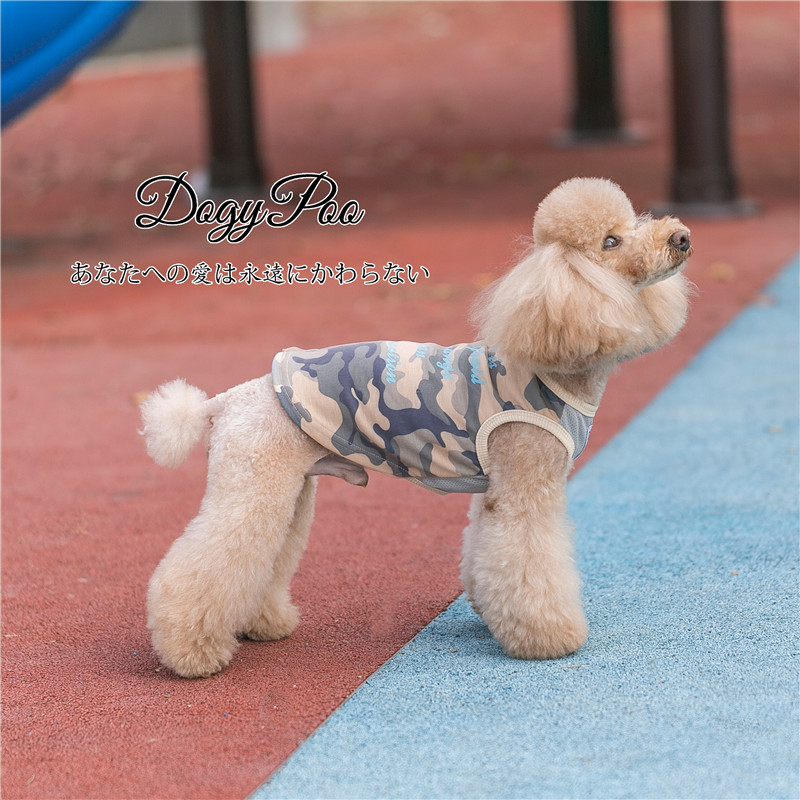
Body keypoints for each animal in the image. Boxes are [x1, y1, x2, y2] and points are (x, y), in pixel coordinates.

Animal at [140, 177, 691, 678]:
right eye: (610, 242)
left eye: (634, 222)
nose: (682, 237)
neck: (552, 363)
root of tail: (227, 400)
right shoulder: (525, 483)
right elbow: (530, 559)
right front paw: (549, 638)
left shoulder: (496, 489)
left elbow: (485, 550)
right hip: (254, 483)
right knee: (206, 562)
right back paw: (191, 654)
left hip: (289, 492)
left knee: (264, 558)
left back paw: (261, 624)